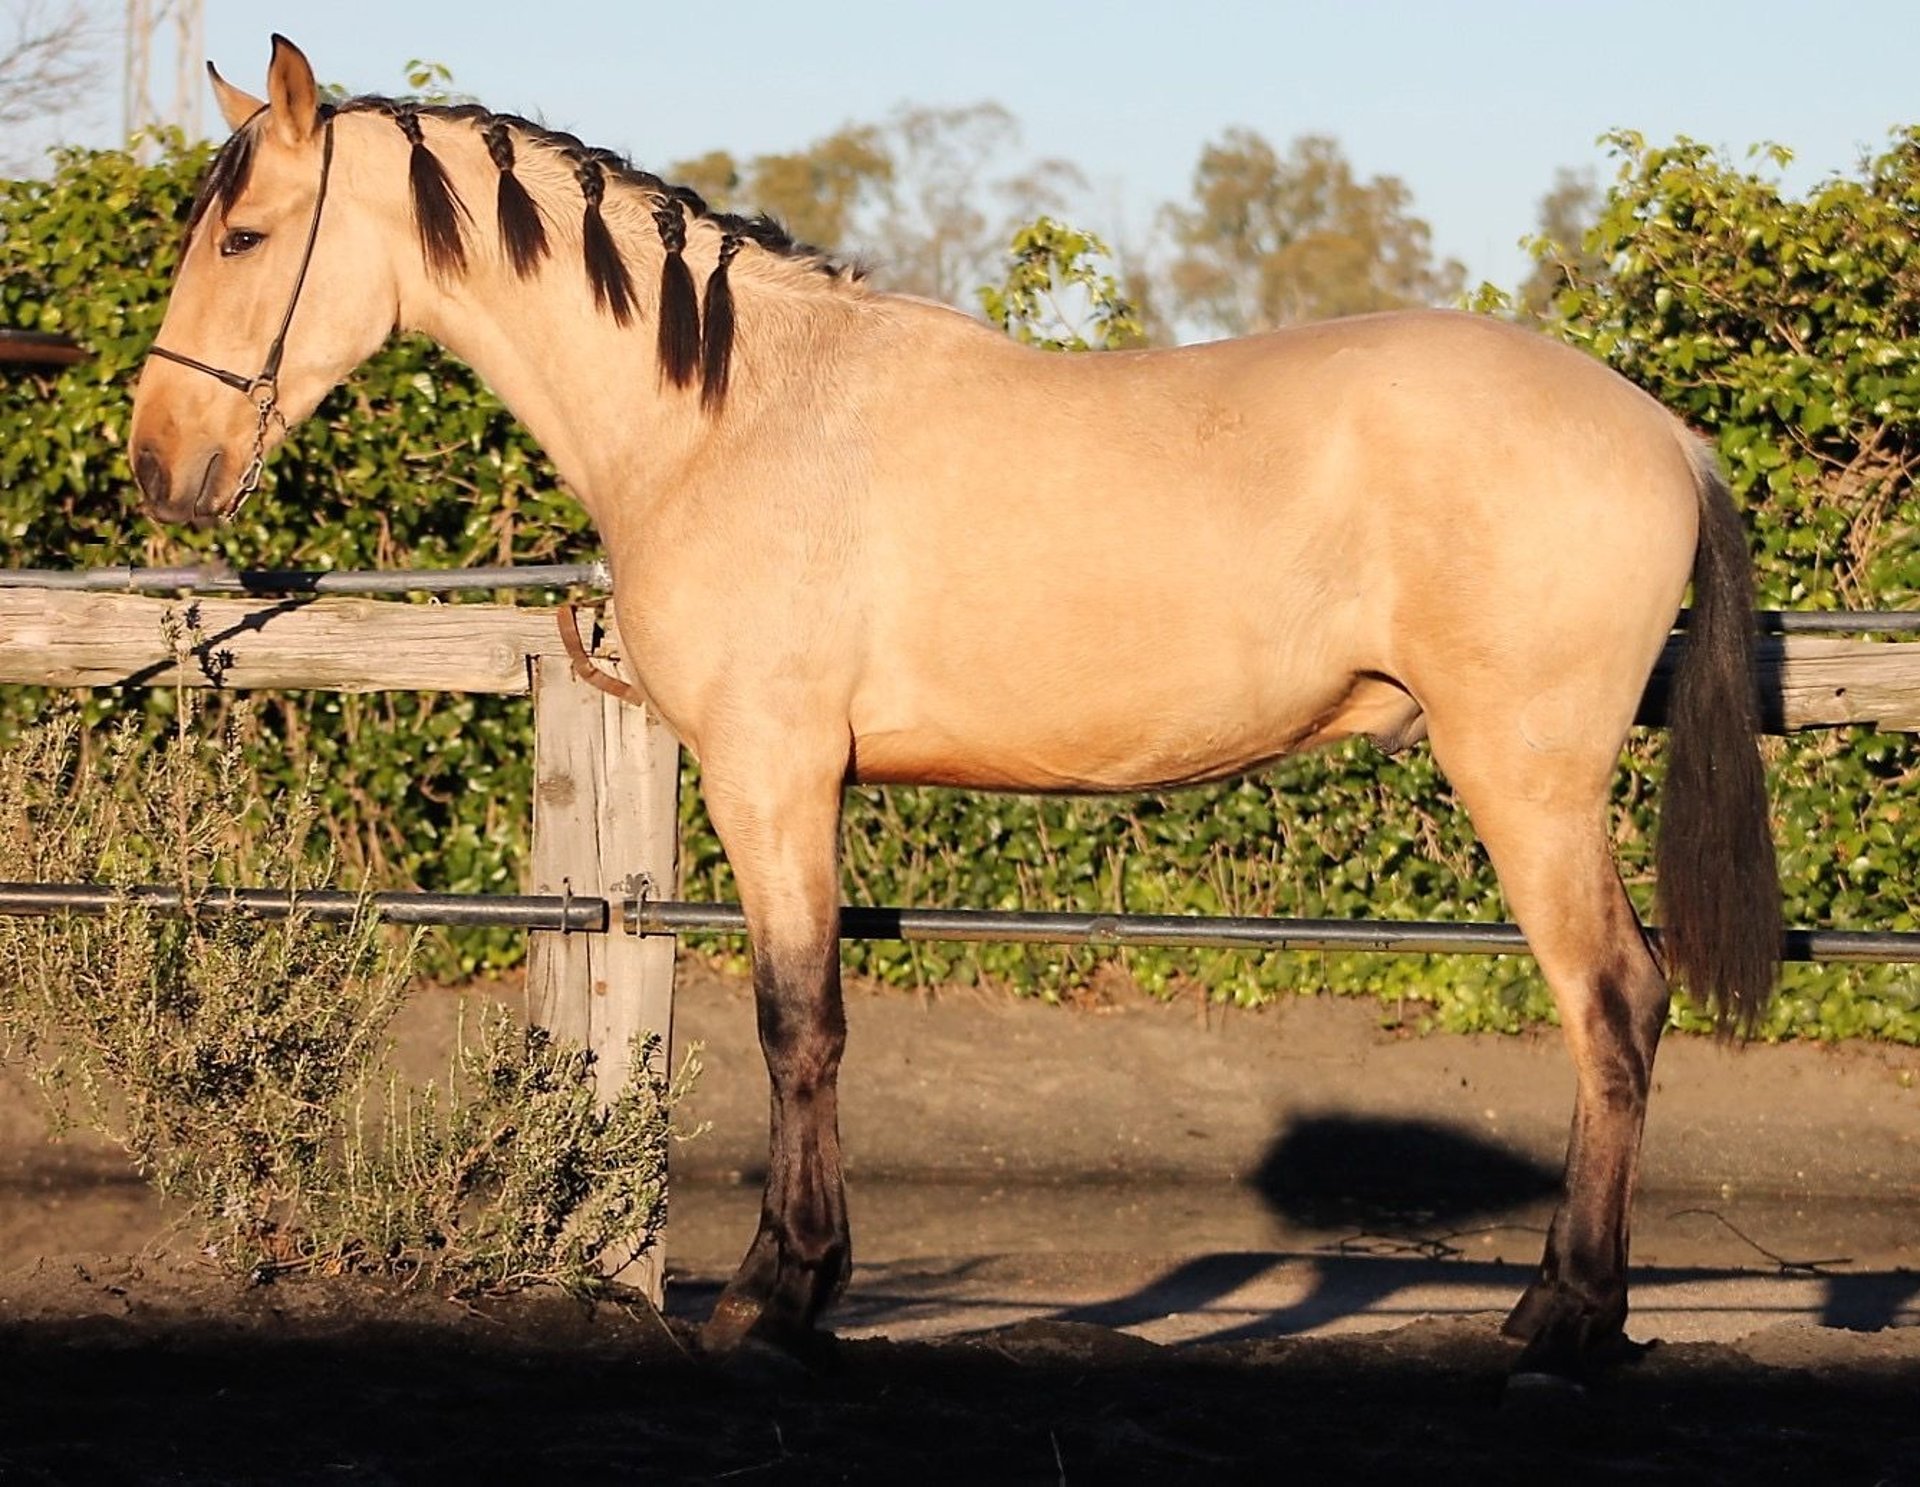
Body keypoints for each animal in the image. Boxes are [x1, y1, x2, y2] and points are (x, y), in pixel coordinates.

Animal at [127, 35, 1774, 1383]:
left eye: (249, 235)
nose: (158, 465)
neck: (729, 414)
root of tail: (1661, 430)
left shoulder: (772, 773)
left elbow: (797, 1021)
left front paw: (775, 1296)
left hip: (1527, 780)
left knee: (1614, 1003)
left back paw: (1565, 1318)